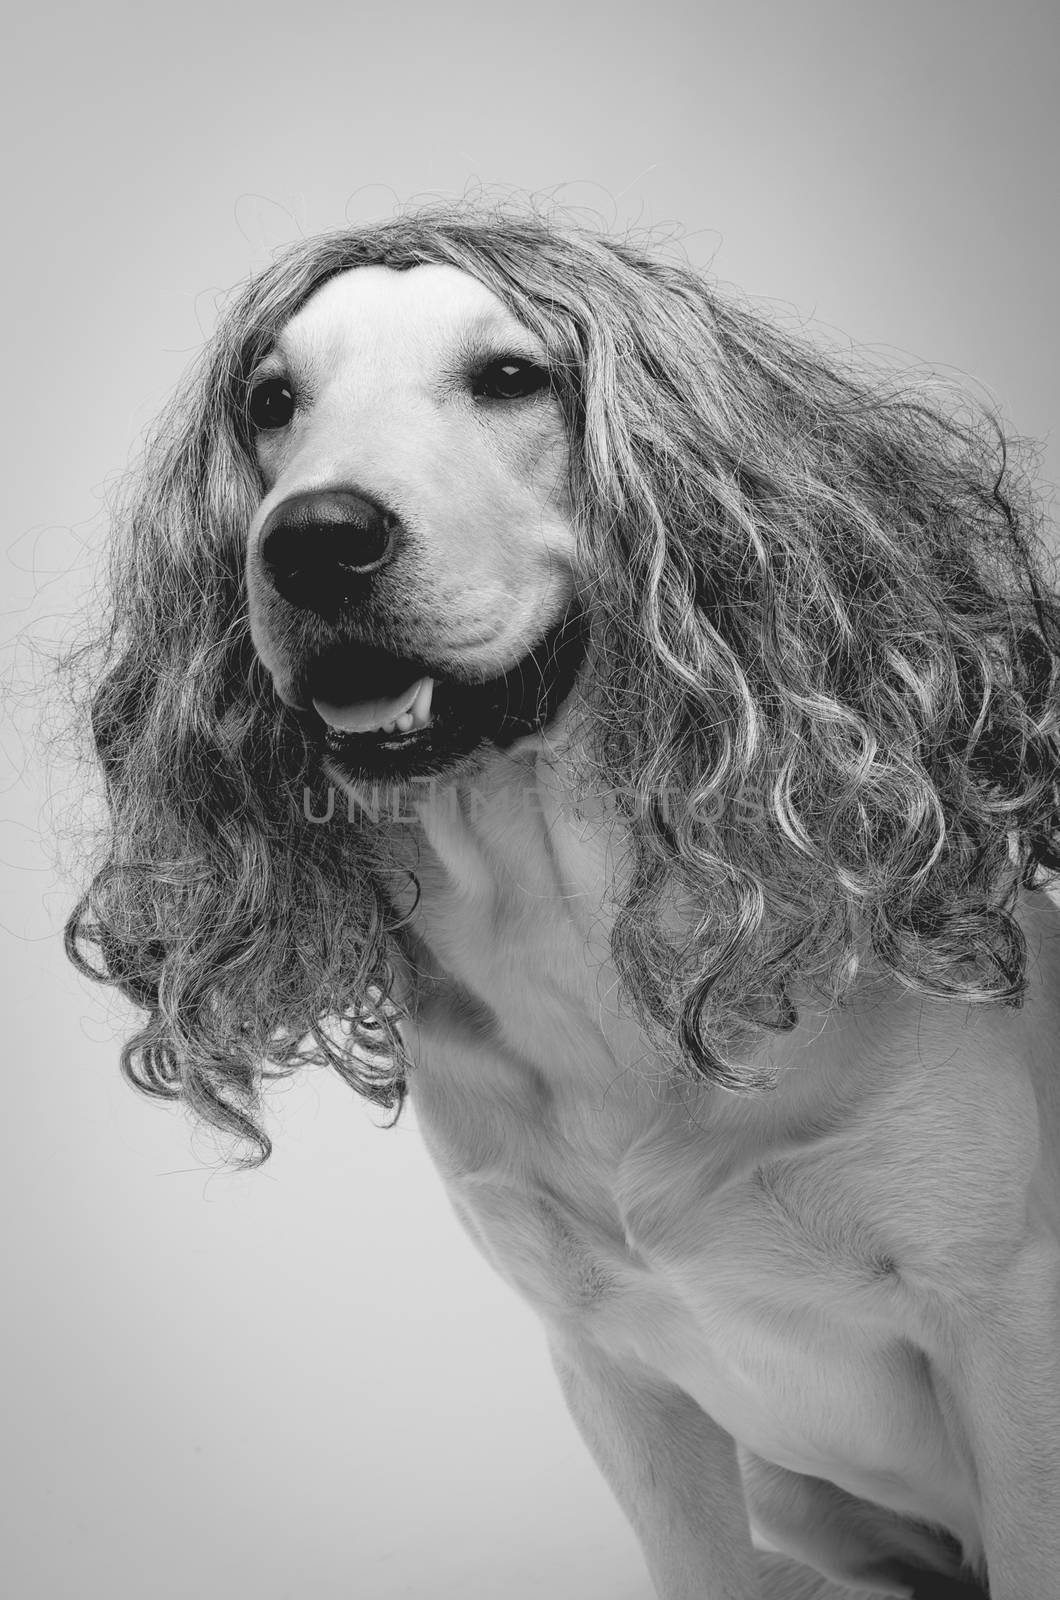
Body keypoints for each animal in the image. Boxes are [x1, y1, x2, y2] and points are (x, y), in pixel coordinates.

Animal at [70, 206, 1060, 1593]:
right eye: (271, 400)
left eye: (511, 376)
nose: (310, 538)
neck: (573, 926)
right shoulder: (614, 1367)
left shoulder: (1003, 1320)